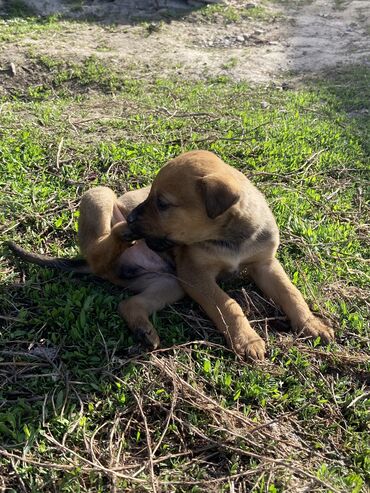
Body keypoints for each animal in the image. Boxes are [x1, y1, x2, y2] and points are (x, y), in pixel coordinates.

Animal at [8, 150, 334, 358]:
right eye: (150, 194)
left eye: (163, 203)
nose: (134, 217)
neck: (231, 237)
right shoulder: (195, 275)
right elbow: (228, 305)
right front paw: (248, 339)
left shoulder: (264, 264)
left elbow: (291, 293)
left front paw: (312, 324)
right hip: (99, 195)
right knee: (99, 250)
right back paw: (122, 233)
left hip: (169, 283)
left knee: (128, 304)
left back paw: (144, 330)